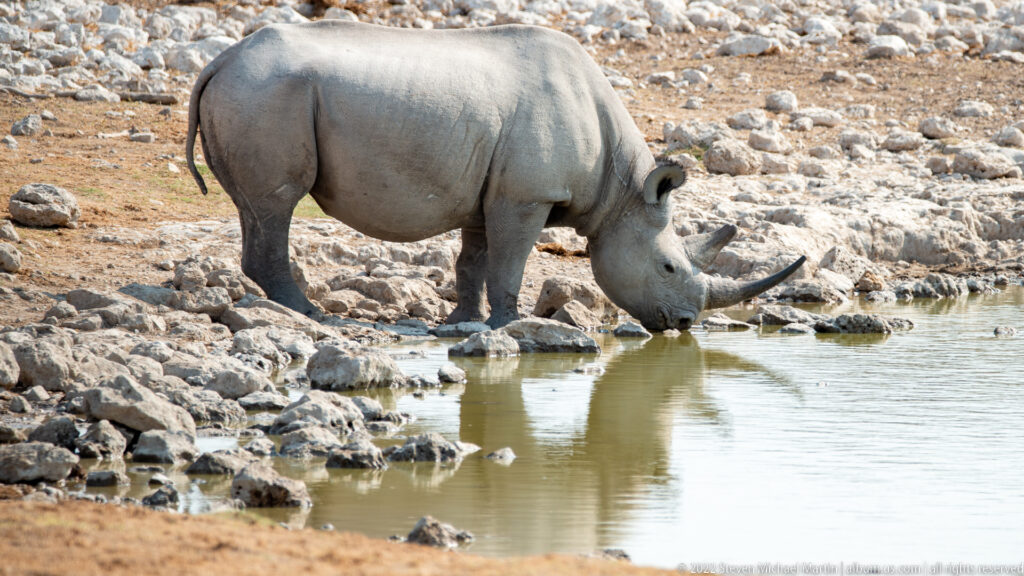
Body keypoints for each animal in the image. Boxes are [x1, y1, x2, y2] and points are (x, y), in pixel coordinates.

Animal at [186, 21, 803, 331]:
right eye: (669, 267)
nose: (682, 323)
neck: (621, 192)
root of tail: (220, 61)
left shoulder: (489, 190)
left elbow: (474, 260)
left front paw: (463, 321)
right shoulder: (526, 195)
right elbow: (511, 261)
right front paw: (510, 325)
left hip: (255, 92)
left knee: (255, 208)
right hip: (268, 94)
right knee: (279, 203)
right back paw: (306, 314)